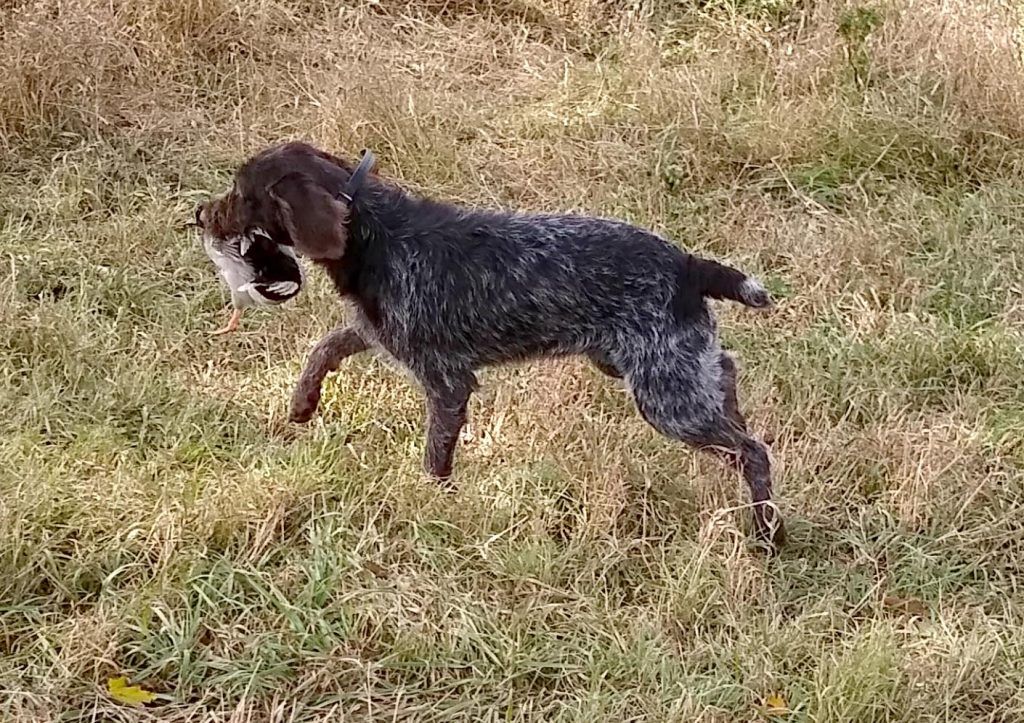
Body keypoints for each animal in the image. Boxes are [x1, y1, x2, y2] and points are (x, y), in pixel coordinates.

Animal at [193, 141, 782, 544]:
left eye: (242, 195)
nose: (201, 215)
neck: (377, 231)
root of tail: (688, 264)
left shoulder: (447, 383)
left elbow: (435, 456)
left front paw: (432, 505)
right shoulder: (377, 331)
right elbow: (325, 347)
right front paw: (303, 404)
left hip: (664, 396)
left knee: (753, 451)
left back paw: (767, 530)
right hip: (657, 367)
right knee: (727, 373)